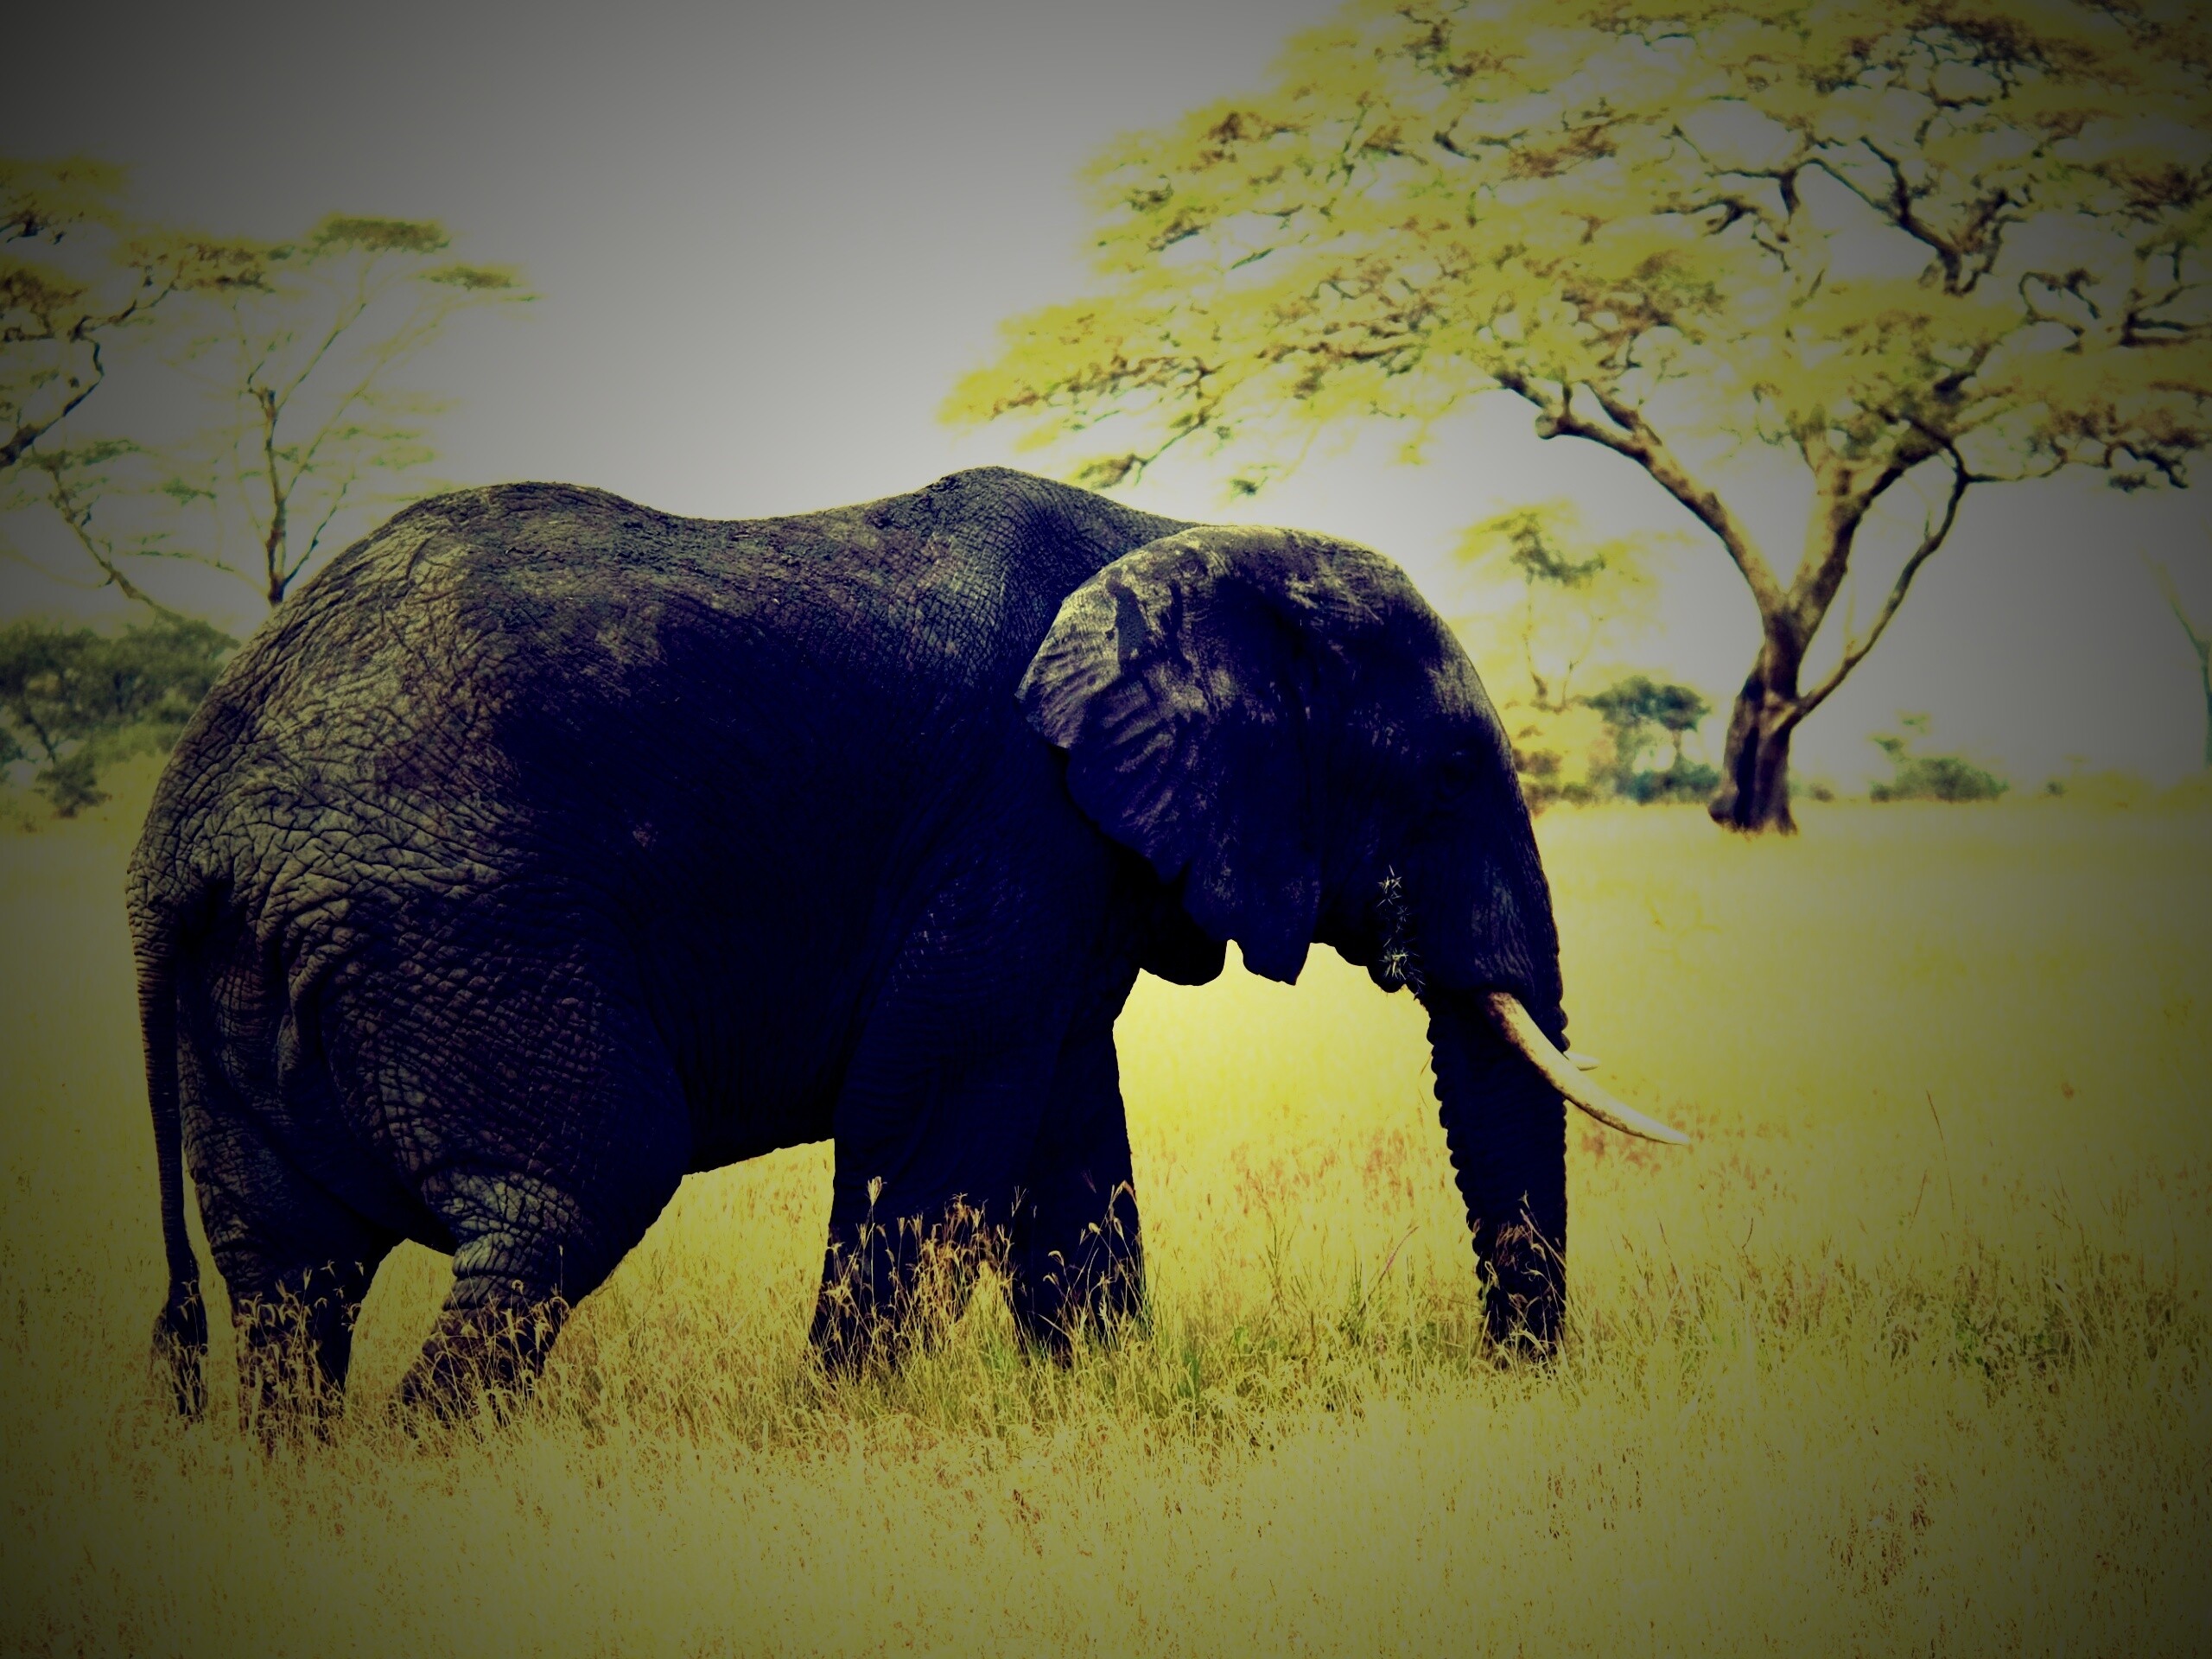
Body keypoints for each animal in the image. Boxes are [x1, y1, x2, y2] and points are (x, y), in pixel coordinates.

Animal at [130, 465, 1682, 1428]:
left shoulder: (1067, 859)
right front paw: (846, 1425)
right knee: (571, 1193)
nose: (1510, 1376)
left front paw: (1099, 1400)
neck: (1180, 532)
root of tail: (180, 836)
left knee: (289, 1274)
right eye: (1449, 774)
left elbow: (1068, 1132)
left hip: (278, 969)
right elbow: (934, 1115)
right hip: (456, 929)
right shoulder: (1013, 812)